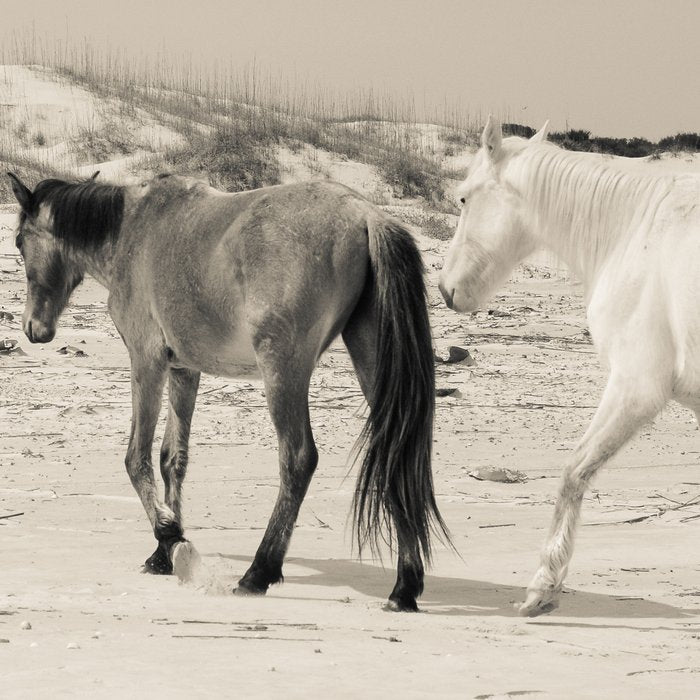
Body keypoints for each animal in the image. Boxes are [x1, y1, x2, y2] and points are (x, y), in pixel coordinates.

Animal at [8, 171, 448, 612]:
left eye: (18, 242)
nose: (33, 328)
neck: (131, 230)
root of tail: (365, 214)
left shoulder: (147, 361)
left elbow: (137, 458)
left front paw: (168, 534)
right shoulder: (184, 370)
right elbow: (172, 459)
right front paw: (163, 554)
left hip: (282, 371)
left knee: (298, 459)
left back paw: (259, 572)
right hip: (371, 360)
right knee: (398, 454)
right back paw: (404, 587)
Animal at [439, 117, 700, 616]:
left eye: (463, 198)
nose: (445, 289)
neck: (635, 233)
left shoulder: (635, 387)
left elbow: (573, 472)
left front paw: (543, 588)